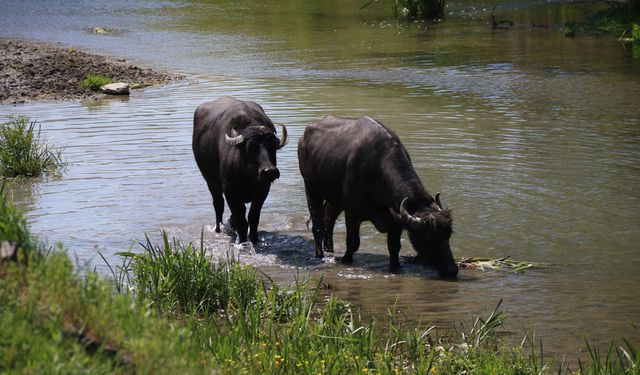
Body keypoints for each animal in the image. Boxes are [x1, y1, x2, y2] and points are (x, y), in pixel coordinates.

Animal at [192, 96, 288, 244]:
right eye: (250, 147)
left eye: (272, 146)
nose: (269, 171)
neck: (248, 176)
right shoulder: (230, 191)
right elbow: (241, 219)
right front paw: (242, 241)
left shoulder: (263, 189)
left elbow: (253, 216)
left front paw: (254, 239)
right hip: (210, 181)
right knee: (218, 204)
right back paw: (218, 229)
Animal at [298, 116, 458, 278]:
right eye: (428, 237)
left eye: (448, 235)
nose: (452, 270)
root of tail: (304, 136)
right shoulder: (352, 213)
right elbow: (353, 242)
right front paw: (345, 260)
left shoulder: (395, 220)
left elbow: (394, 247)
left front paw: (395, 267)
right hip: (311, 189)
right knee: (317, 225)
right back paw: (320, 255)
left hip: (335, 199)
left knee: (328, 221)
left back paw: (330, 250)